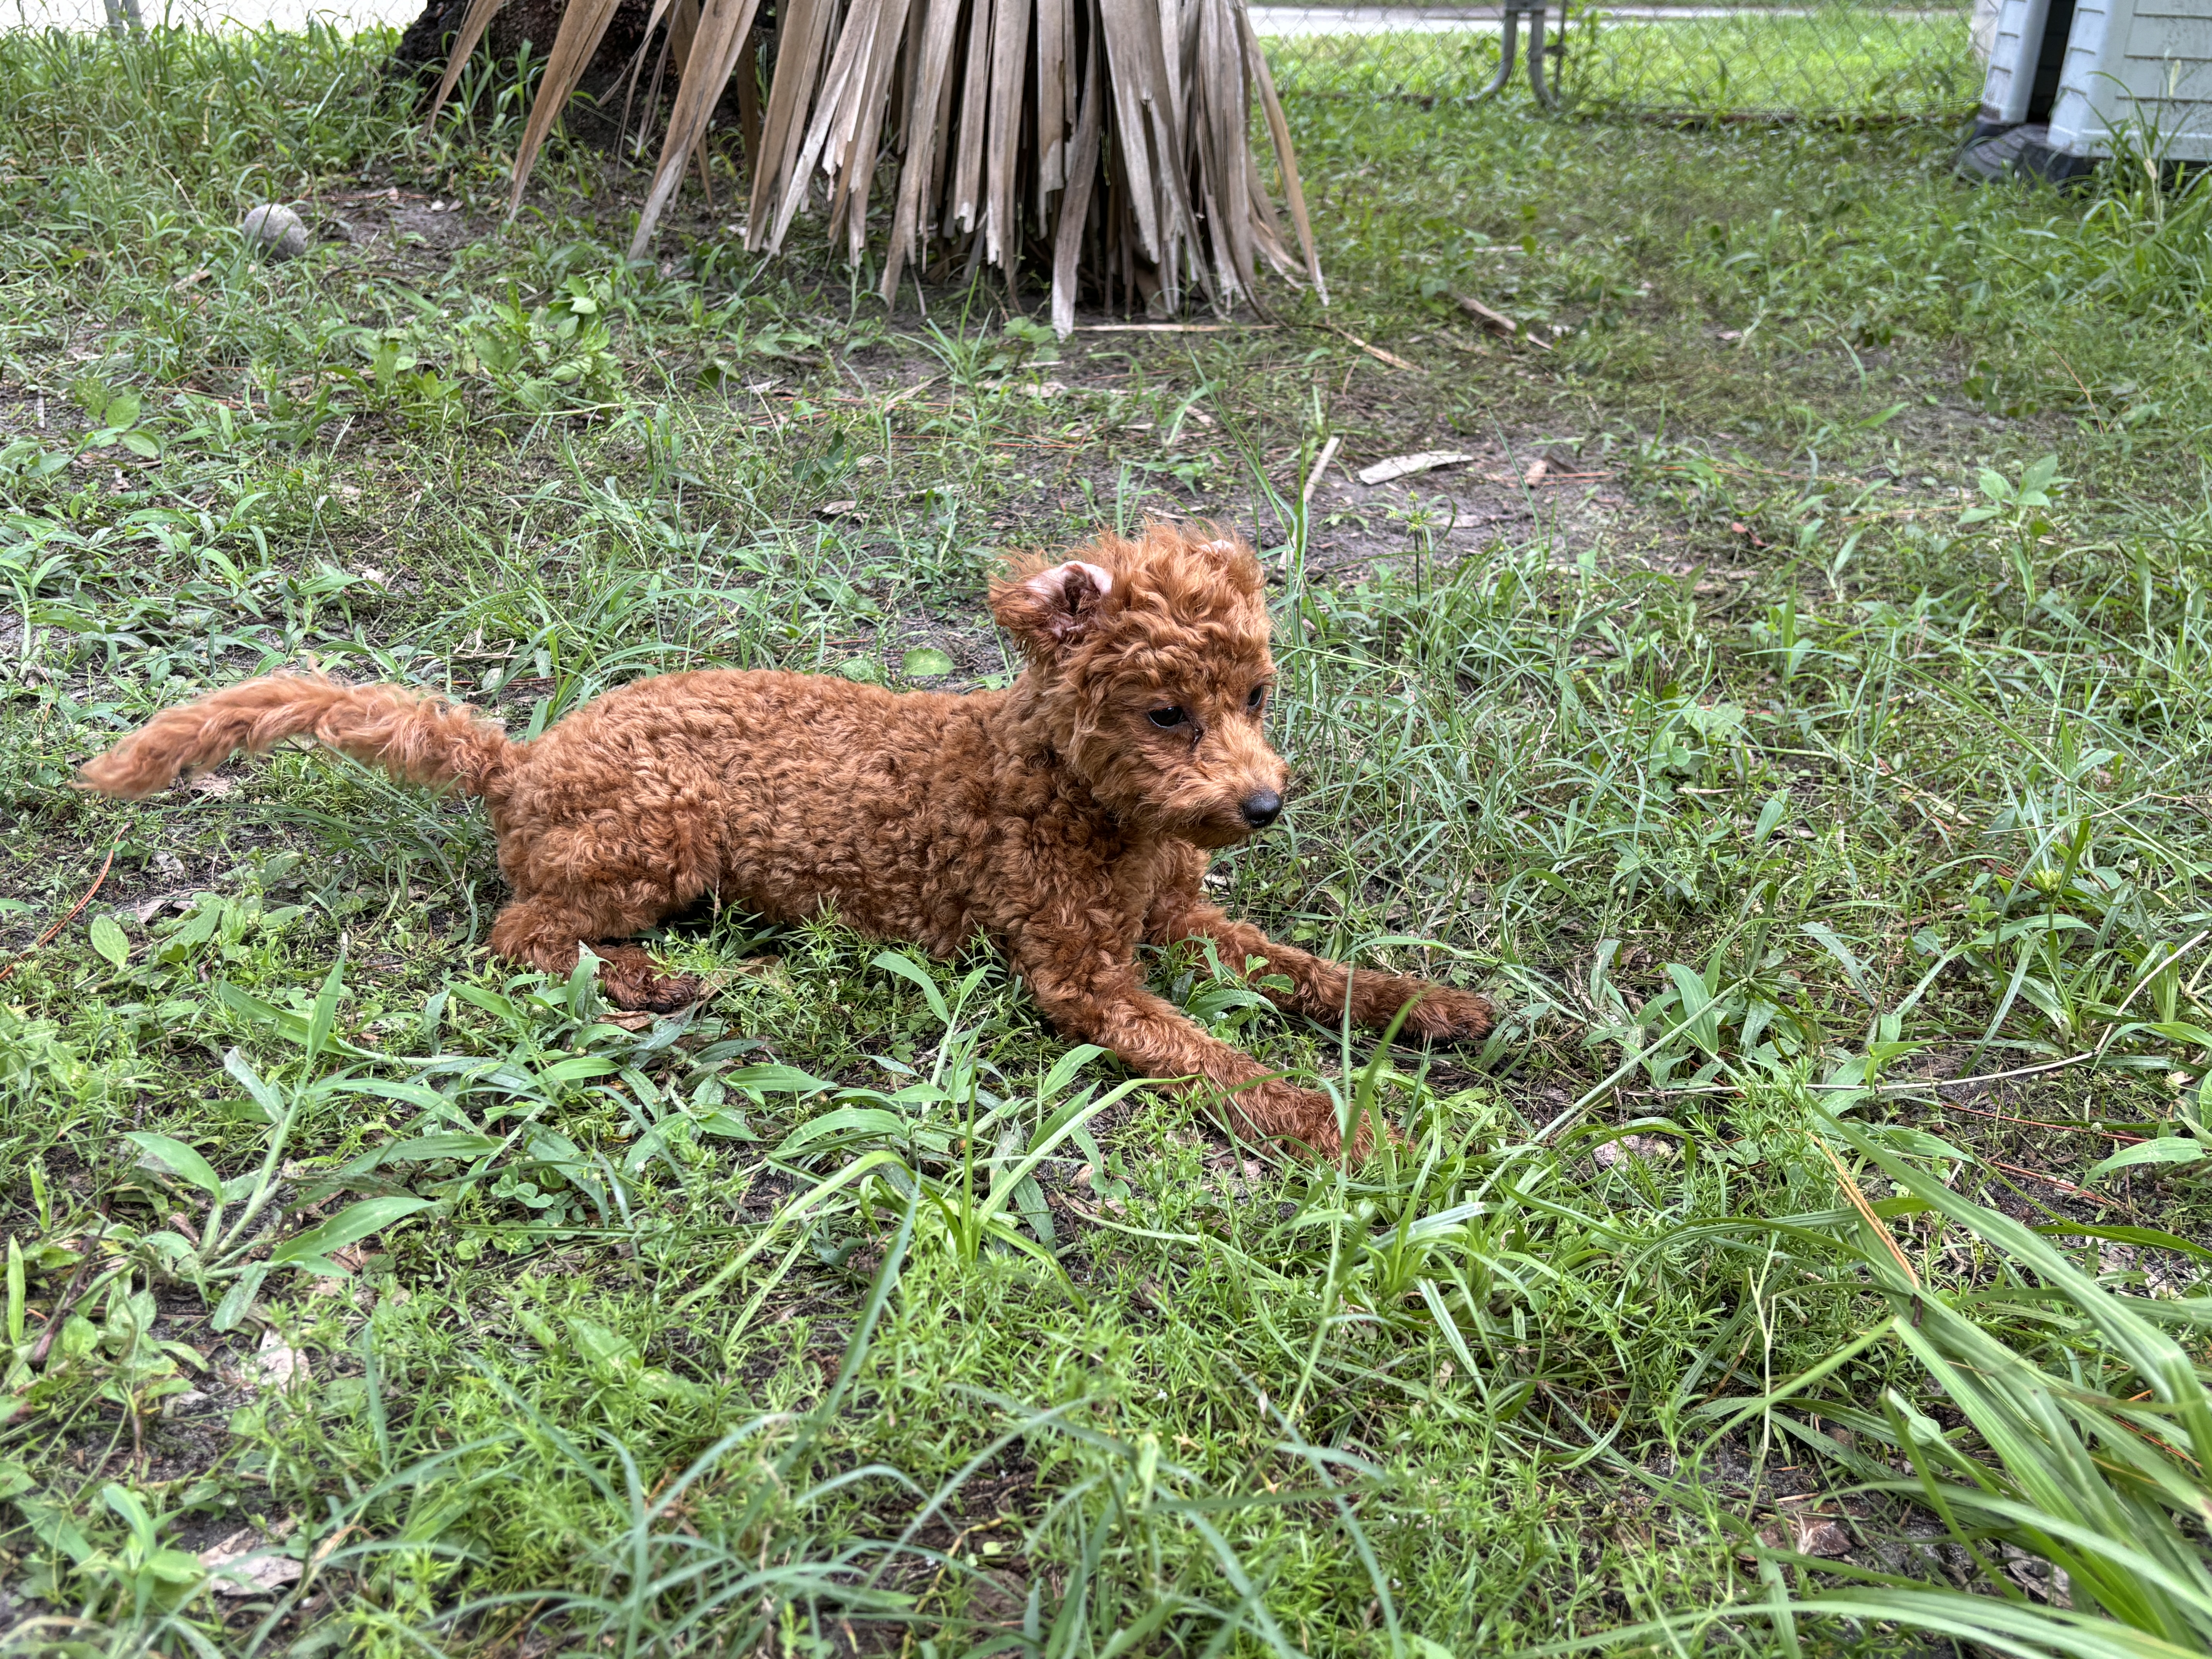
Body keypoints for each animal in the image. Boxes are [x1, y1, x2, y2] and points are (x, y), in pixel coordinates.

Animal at [82, 520, 1486, 1159]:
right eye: (1165, 712)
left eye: (1254, 695)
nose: (1263, 807)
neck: (1083, 796)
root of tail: (523, 761)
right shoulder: (1081, 975)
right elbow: (1221, 1057)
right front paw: (1347, 1124)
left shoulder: (1183, 918)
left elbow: (1306, 971)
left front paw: (1427, 1006)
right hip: (663, 831)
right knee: (524, 932)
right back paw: (673, 982)